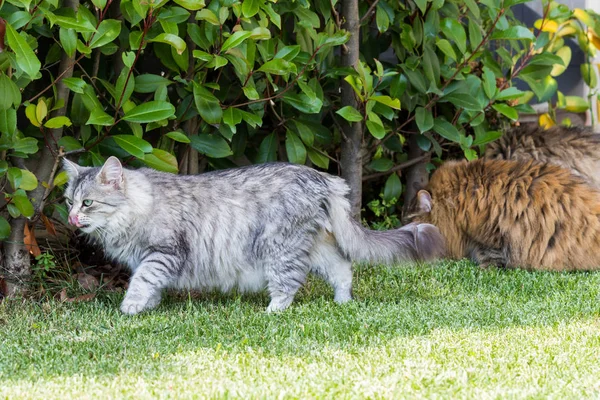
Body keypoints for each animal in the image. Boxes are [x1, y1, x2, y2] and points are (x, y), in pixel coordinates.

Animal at [63, 156, 446, 316]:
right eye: (69, 201)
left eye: (88, 202)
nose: (71, 218)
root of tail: (322, 178)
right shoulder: (156, 258)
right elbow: (151, 284)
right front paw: (148, 305)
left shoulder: (163, 252)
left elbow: (142, 280)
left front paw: (131, 307)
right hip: (315, 247)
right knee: (343, 269)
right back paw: (343, 302)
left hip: (279, 249)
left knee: (289, 284)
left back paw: (272, 311)